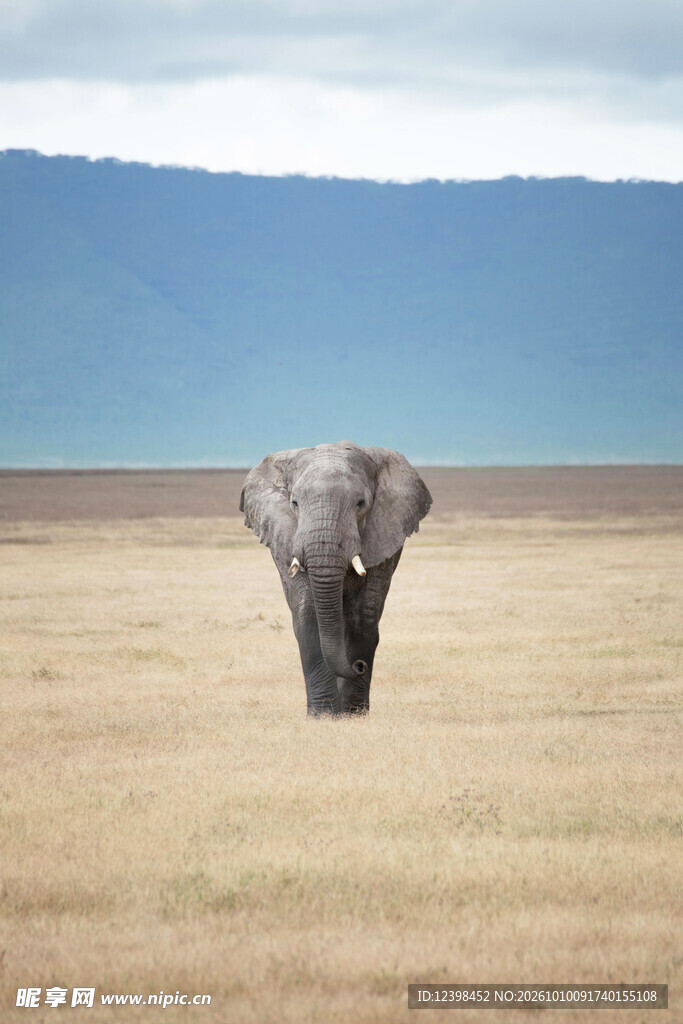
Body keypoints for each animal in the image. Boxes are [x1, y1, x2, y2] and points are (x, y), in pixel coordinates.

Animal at [239, 441, 432, 715]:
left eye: (361, 503)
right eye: (294, 503)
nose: (359, 665)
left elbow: (364, 617)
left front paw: (353, 715)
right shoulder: (286, 538)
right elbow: (308, 615)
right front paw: (323, 715)